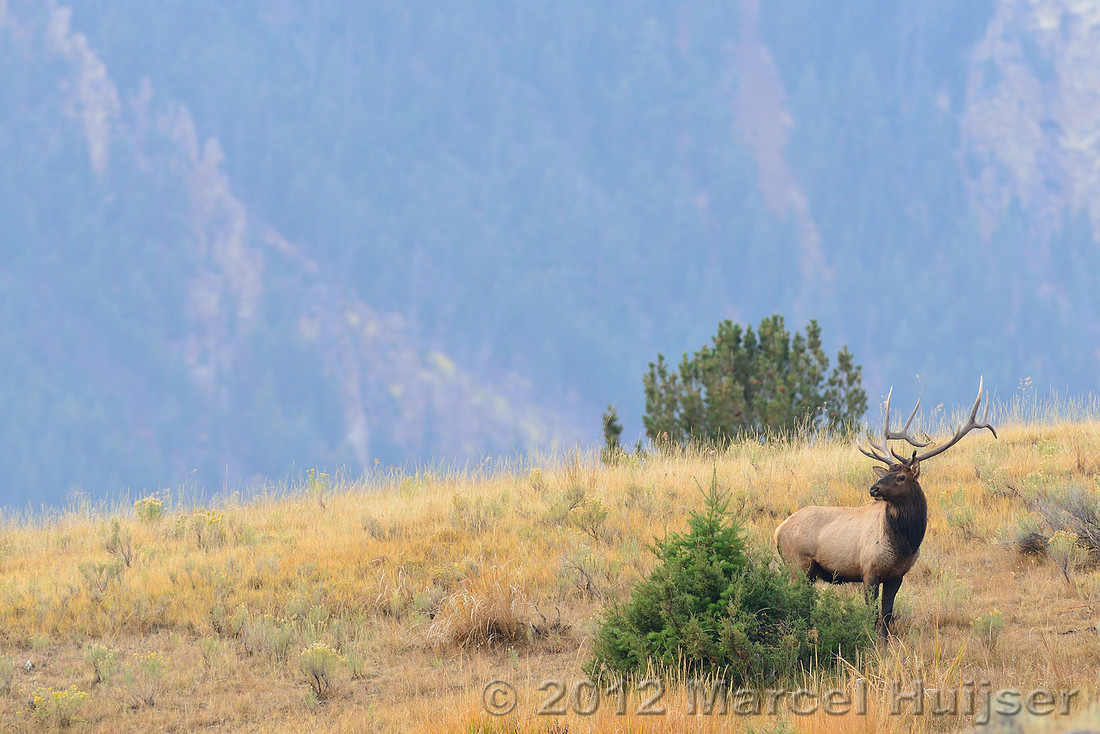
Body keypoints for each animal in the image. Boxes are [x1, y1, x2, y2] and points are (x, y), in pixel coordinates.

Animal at [774, 378, 996, 638]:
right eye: (887, 473)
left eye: (900, 477)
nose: (873, 489)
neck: (905, 544)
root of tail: (777, 531)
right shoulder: (869, 570)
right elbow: (871, 614)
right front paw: (869, 640)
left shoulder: (897, 575)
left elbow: (887, 616)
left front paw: (885, 642)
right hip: (797, 564)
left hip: (807, 572)